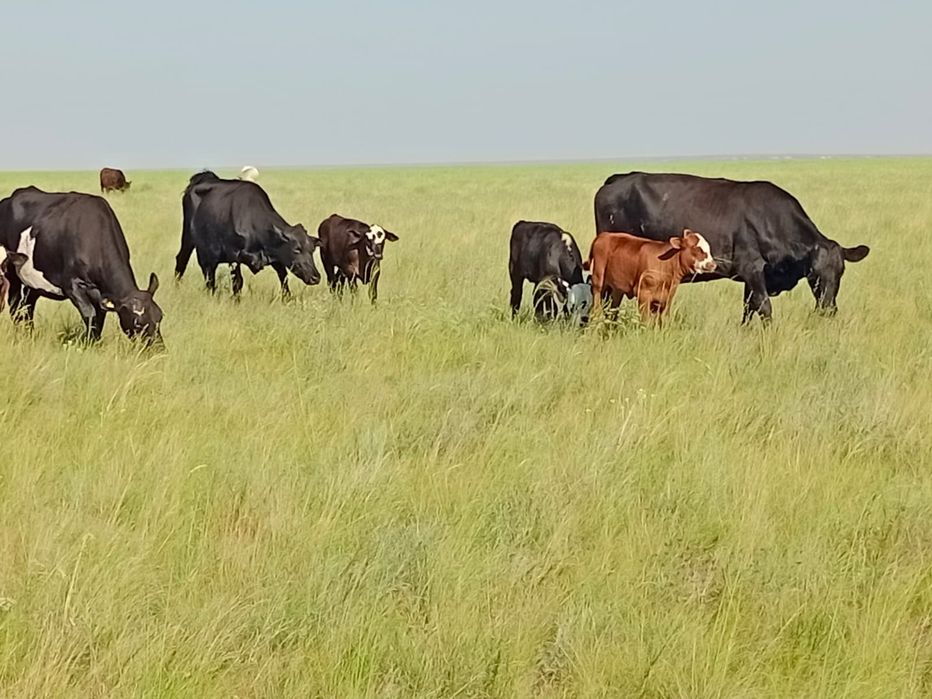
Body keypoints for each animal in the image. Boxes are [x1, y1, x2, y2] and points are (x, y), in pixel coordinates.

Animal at [0, 187, 163, 344]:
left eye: (160, 316)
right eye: (138, 323)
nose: (159, 348)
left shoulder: (101, 295)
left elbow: (99, 320)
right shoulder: (72, 285)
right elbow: (90, 315)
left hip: (32, 283)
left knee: (28, 306)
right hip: (12, 274)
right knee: (15, 306)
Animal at [174, 174, 321, 297]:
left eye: (312, 250)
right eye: (296, 249)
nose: (316, 277)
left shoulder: (276, 257)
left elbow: (283, 277)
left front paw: (288, 300)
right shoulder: (234, 256)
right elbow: (238, 282)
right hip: (190, 240)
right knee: (185, 262)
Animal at [586, 229, 716, 325]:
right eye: (697, 248)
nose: (713, 264)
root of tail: (604, 235)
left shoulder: (666, 298)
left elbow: (661, 321)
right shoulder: (644, 295)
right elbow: (646, 321)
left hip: (618, 288)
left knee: (613, 310)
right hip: (598, 281)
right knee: (596, 305)